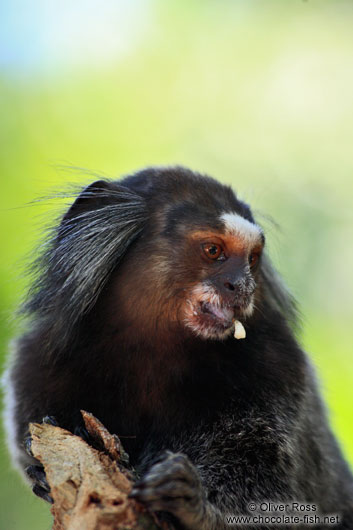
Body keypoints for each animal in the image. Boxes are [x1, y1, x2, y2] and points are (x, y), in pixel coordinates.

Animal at [2, 166, 352, 524]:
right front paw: (41, 471)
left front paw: (191, 504)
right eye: (213, 250)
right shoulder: (40, 359)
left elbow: (272, 494)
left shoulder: (279, 367)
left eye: (252, 259)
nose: (242, 286)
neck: (154, 349)